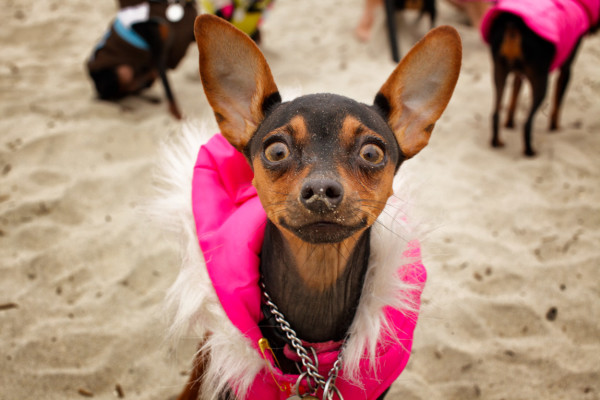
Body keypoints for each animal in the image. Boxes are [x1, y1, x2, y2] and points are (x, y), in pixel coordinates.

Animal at [482, 0, 600, 156]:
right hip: (540, 82)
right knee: (527, 124)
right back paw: (530, 151)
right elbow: (557, 104)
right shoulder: (566, 71)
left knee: (495, 114)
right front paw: (555, 129)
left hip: (499, 72)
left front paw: (509, 124)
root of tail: (514, 26)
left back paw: (497, 142)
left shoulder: (519, 74)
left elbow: (514, 96)